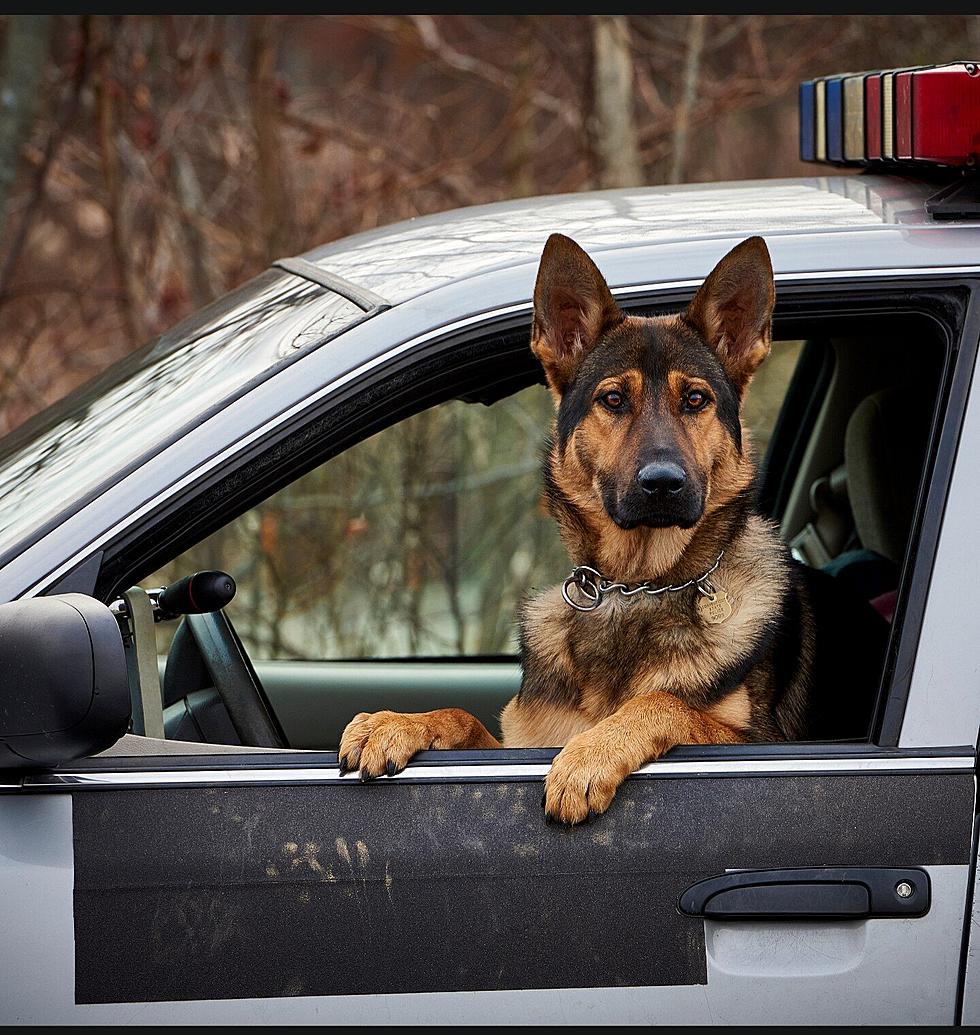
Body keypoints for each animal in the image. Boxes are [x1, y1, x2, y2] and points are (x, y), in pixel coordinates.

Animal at [339, 232, 889, 823]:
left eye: (695, 399)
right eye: (613, 399)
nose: (663, 483)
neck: (637, 588)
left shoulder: (758, 743)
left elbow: (664, 701)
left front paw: (591, 754)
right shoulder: (524, 740)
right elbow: (461, 716)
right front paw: (397, 723)